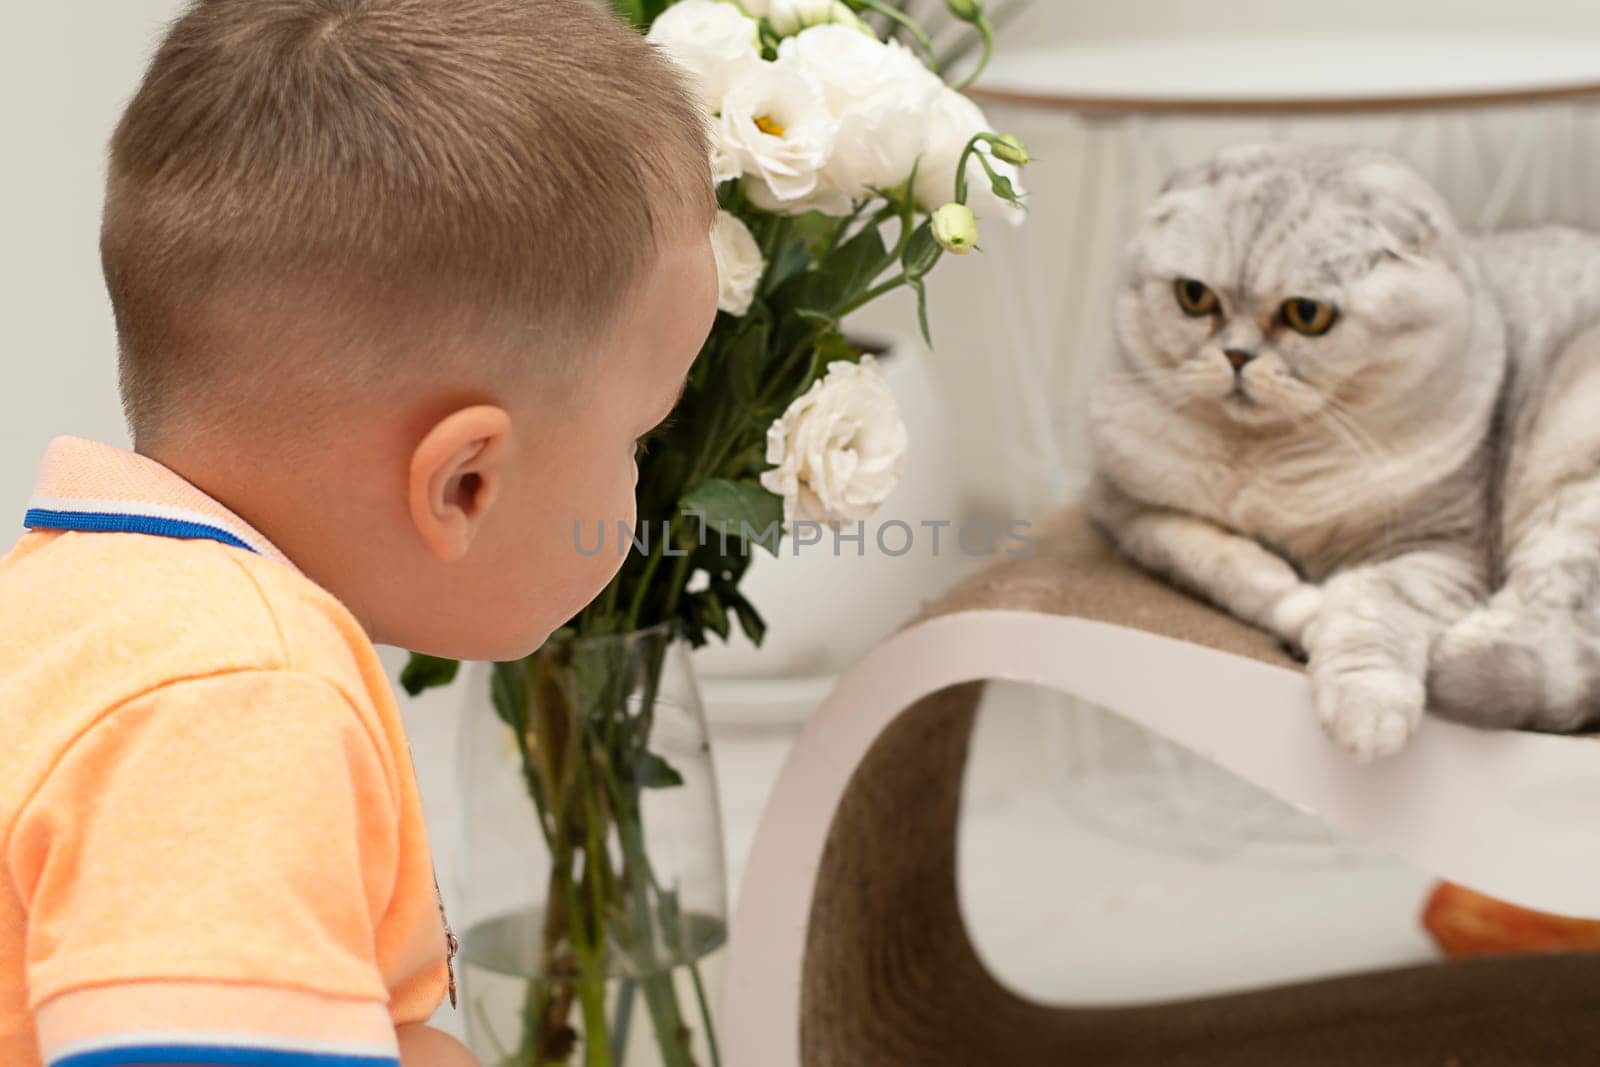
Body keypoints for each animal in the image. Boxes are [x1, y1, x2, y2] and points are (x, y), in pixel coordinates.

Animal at [1094, 141, 1600, 758]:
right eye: (1194, 297)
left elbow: (1370, 605)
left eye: (1306, 315)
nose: (1236, 356)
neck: (1269, 459)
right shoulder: (1136, 515)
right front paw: (1306, 614)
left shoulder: (1441, 547)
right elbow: (1238, 568)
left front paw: (1366, 711)